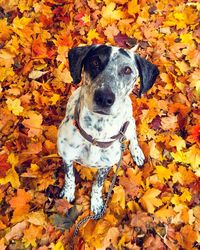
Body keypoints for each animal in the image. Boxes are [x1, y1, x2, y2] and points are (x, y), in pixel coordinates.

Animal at [56, 44, 159, 215]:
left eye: (127, 70)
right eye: (95, 62)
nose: (104, 98)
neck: (96, 134)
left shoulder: (105, 166)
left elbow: (97, 185)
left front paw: (97, 202)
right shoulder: (67, 158)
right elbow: (70, 177)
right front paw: (68, 193)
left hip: (129, 124)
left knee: (133, 136)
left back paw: (137, 152)